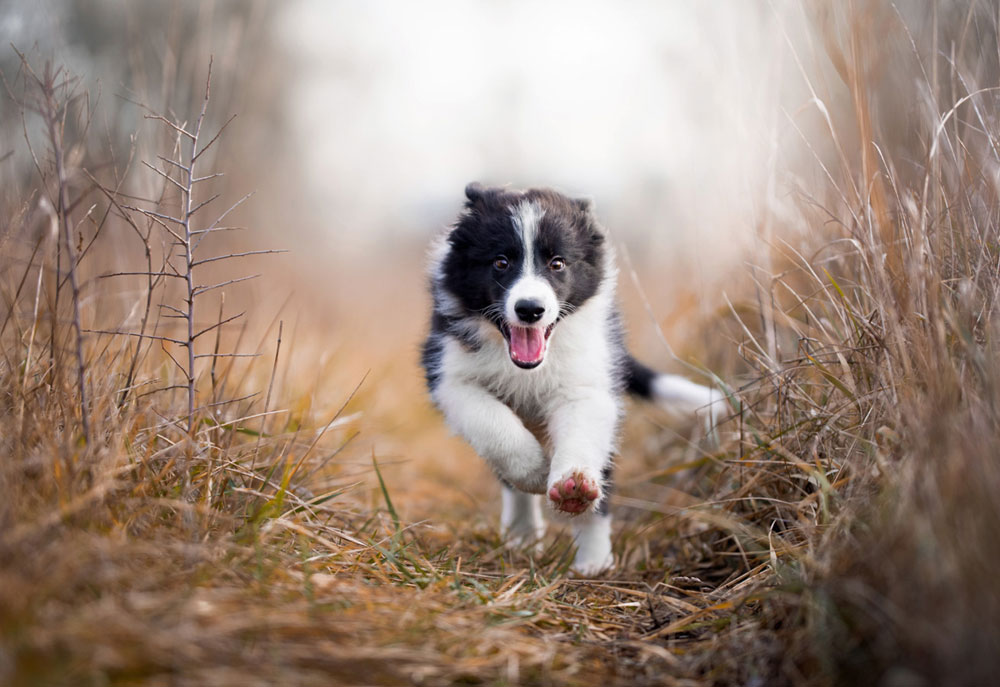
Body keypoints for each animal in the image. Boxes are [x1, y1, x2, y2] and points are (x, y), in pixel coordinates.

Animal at [422, 183, 720, 576]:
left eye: (557, 263)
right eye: (501, 262)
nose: (530, 309)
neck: (526, 367)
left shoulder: (588, 383)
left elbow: (581, 433)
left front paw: (571, 485)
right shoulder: (448, 374)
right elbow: (494, 425)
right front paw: (534, 472)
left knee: (602, 483)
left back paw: (593, 562)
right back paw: (522, 534)